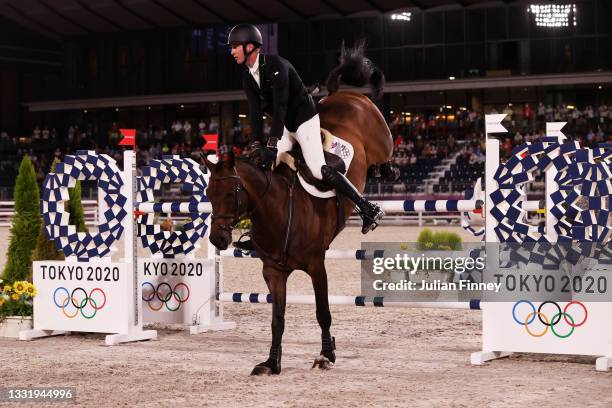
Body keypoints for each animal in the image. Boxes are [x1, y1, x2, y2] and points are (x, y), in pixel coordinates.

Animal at [201, 43, 392, 372]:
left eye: (232, 192)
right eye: (209, 194)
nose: (218, 239)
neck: (277, 211)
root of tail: (345, 95)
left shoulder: (317, 265)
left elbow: (322, 312)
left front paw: (326, 355)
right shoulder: (273, 272)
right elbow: (277, 318)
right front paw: (271, 362)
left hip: (380, 138)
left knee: (365, 162)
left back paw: (374, 204)